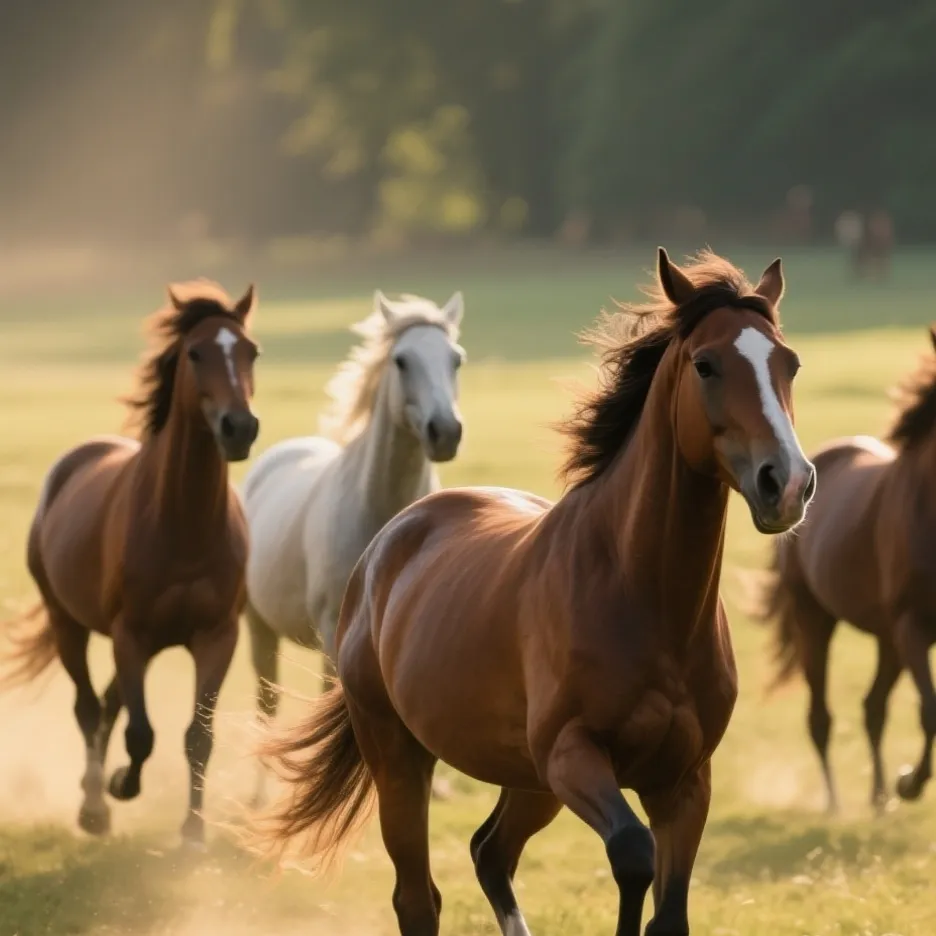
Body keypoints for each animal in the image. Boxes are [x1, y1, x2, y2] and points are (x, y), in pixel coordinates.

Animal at [1, 281, 260, 847]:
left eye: (251, 351)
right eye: (195, 353)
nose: (239, 427)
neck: (183, 526)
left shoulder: (217, 636)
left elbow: (198, 735)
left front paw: (192, 833)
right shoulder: (131, 635)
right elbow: (140, 734)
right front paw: (121, 785)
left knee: (107, 703)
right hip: (70, 624)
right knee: (88, 706)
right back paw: (94, 805)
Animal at [242, 289, 465, 806]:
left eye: (456, 359)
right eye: (401, 360)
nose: (445, 431)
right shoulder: (332, 631)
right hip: (259, 626)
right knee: (267, 701)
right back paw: (262, 794)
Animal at [755, 325, 936, 814]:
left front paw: (902, 786)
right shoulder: (912, 626)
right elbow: (929, 710)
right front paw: (910, 784)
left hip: (886, 638)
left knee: (873, 710)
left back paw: (878, 798)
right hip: (815, 618)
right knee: (821, 717)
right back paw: (837, 804)